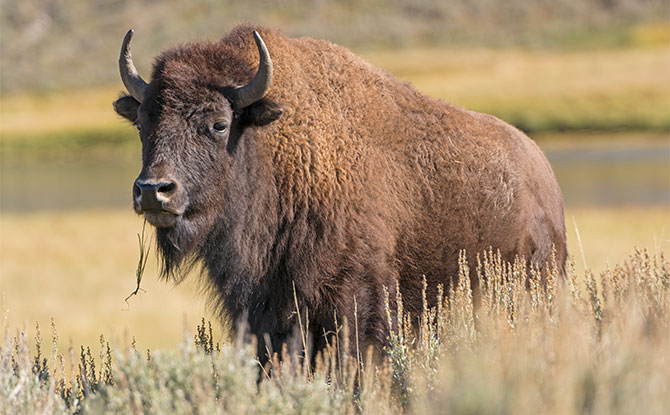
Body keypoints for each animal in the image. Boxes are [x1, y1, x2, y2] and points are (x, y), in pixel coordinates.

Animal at [114, 24, 568, 364]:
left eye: (219, 124)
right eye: (143, 122)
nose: (154, 190)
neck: (276, 148)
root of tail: (544, 175)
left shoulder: (355, 301)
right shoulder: (264, 312)